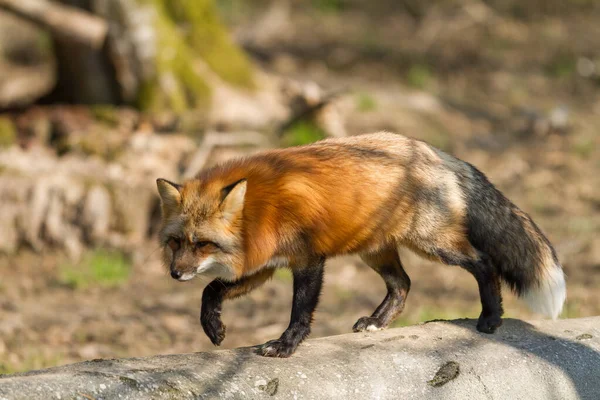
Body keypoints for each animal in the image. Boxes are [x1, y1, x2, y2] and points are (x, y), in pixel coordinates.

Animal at [157, 133, 564, 358]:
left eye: (203, 244)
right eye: (176, 242)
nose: (175, 274)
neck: (263, 211)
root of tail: (433, 150)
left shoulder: (308, 258)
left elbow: (300, 311)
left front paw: (287, 345)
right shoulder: (266, 266)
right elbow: (211, 290)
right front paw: (213, 328)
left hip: (434, 244)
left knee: (483, 264)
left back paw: (492, 317)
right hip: (375, 251)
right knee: (403, 284)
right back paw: (378, 322)